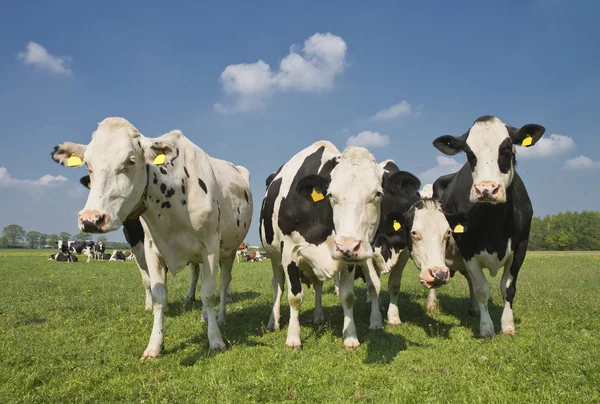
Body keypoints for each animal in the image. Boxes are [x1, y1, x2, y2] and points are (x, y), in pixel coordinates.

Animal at [52, 117, 255, 360]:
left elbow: (209, 294)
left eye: (130, 161)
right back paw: (205, 316)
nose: (91, 219)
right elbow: (159, 295)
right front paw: (155, 345)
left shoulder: (210, 247)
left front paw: (215, 340)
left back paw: (221, 316)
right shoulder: (150, 249)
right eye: (88, 165)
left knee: (224, 283)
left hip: (229, 250)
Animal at [258, 140, 412, 348]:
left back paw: (318, 316)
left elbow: (347, 296)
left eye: (378, 194)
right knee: (278, 285)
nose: (348, 245)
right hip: (275, 257)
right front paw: (293, 338)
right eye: (330, 194)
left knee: (317, 285)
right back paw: (273, 322)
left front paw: (351, 337)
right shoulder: (290, 252)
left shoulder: (348, 258)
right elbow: (294, 297)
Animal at [428, 115, 548, 336]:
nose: (486, 189)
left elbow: (508, 288)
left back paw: (474, 308)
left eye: (507, 148)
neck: (495, 223)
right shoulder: (468, 248)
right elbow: (482, 289)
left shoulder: (521, 246)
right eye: (469, 153)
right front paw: (486, 328)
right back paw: (432, 305)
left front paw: (508, 325)